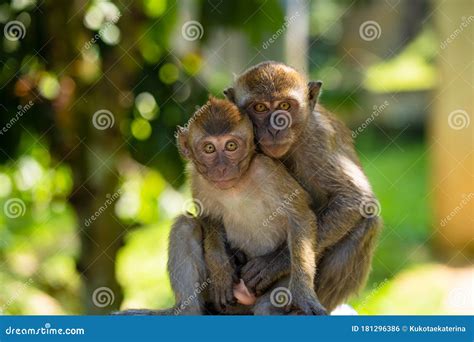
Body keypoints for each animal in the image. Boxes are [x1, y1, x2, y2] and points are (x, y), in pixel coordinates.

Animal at [224, 60, 384, 310]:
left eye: (285, 106)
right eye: (259, 107)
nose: (276, 127)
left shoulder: (318, 139)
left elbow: (354, 199)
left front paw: (274, 263)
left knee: (368, 221)